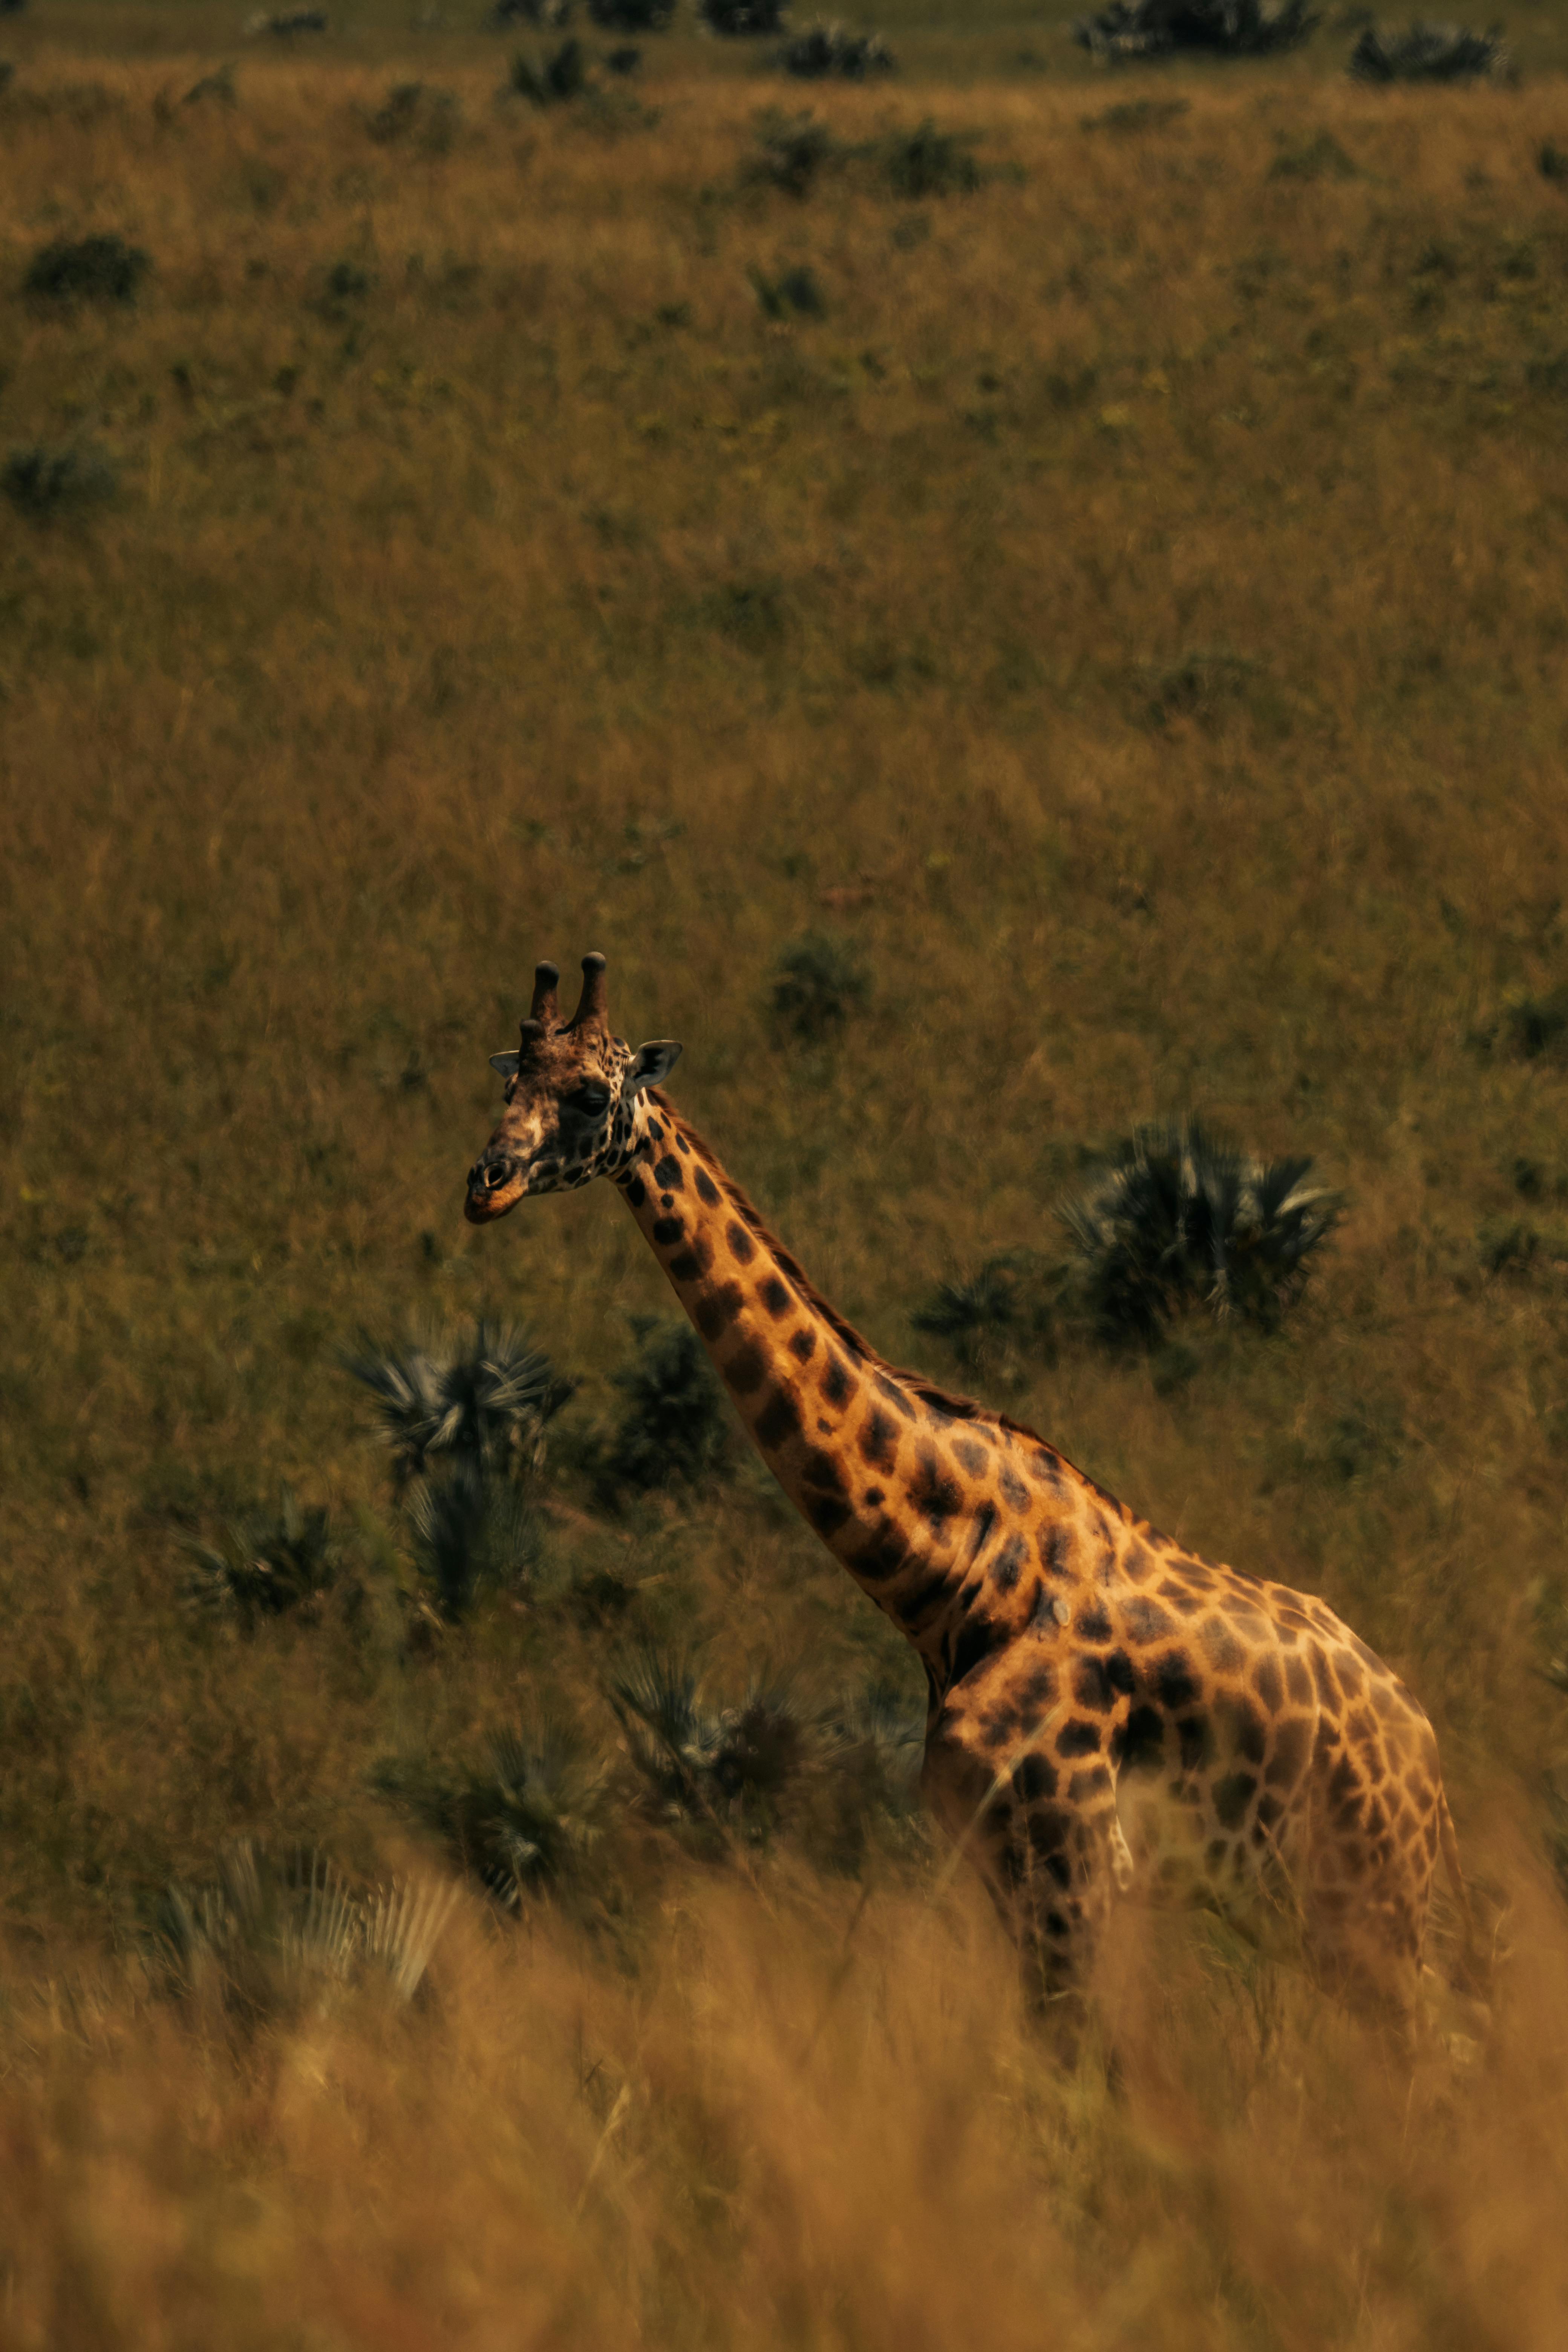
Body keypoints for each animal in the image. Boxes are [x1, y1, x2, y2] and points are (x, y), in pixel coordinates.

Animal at [463, 955, 1476, 2023]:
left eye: (589, 1093)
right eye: (509, 1082)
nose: (485, 1185)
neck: (948, 1579)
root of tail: (1425, 1747)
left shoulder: (1075, 1859)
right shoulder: (1002, 1863)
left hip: (1368, 1887)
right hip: (1298, 1898)